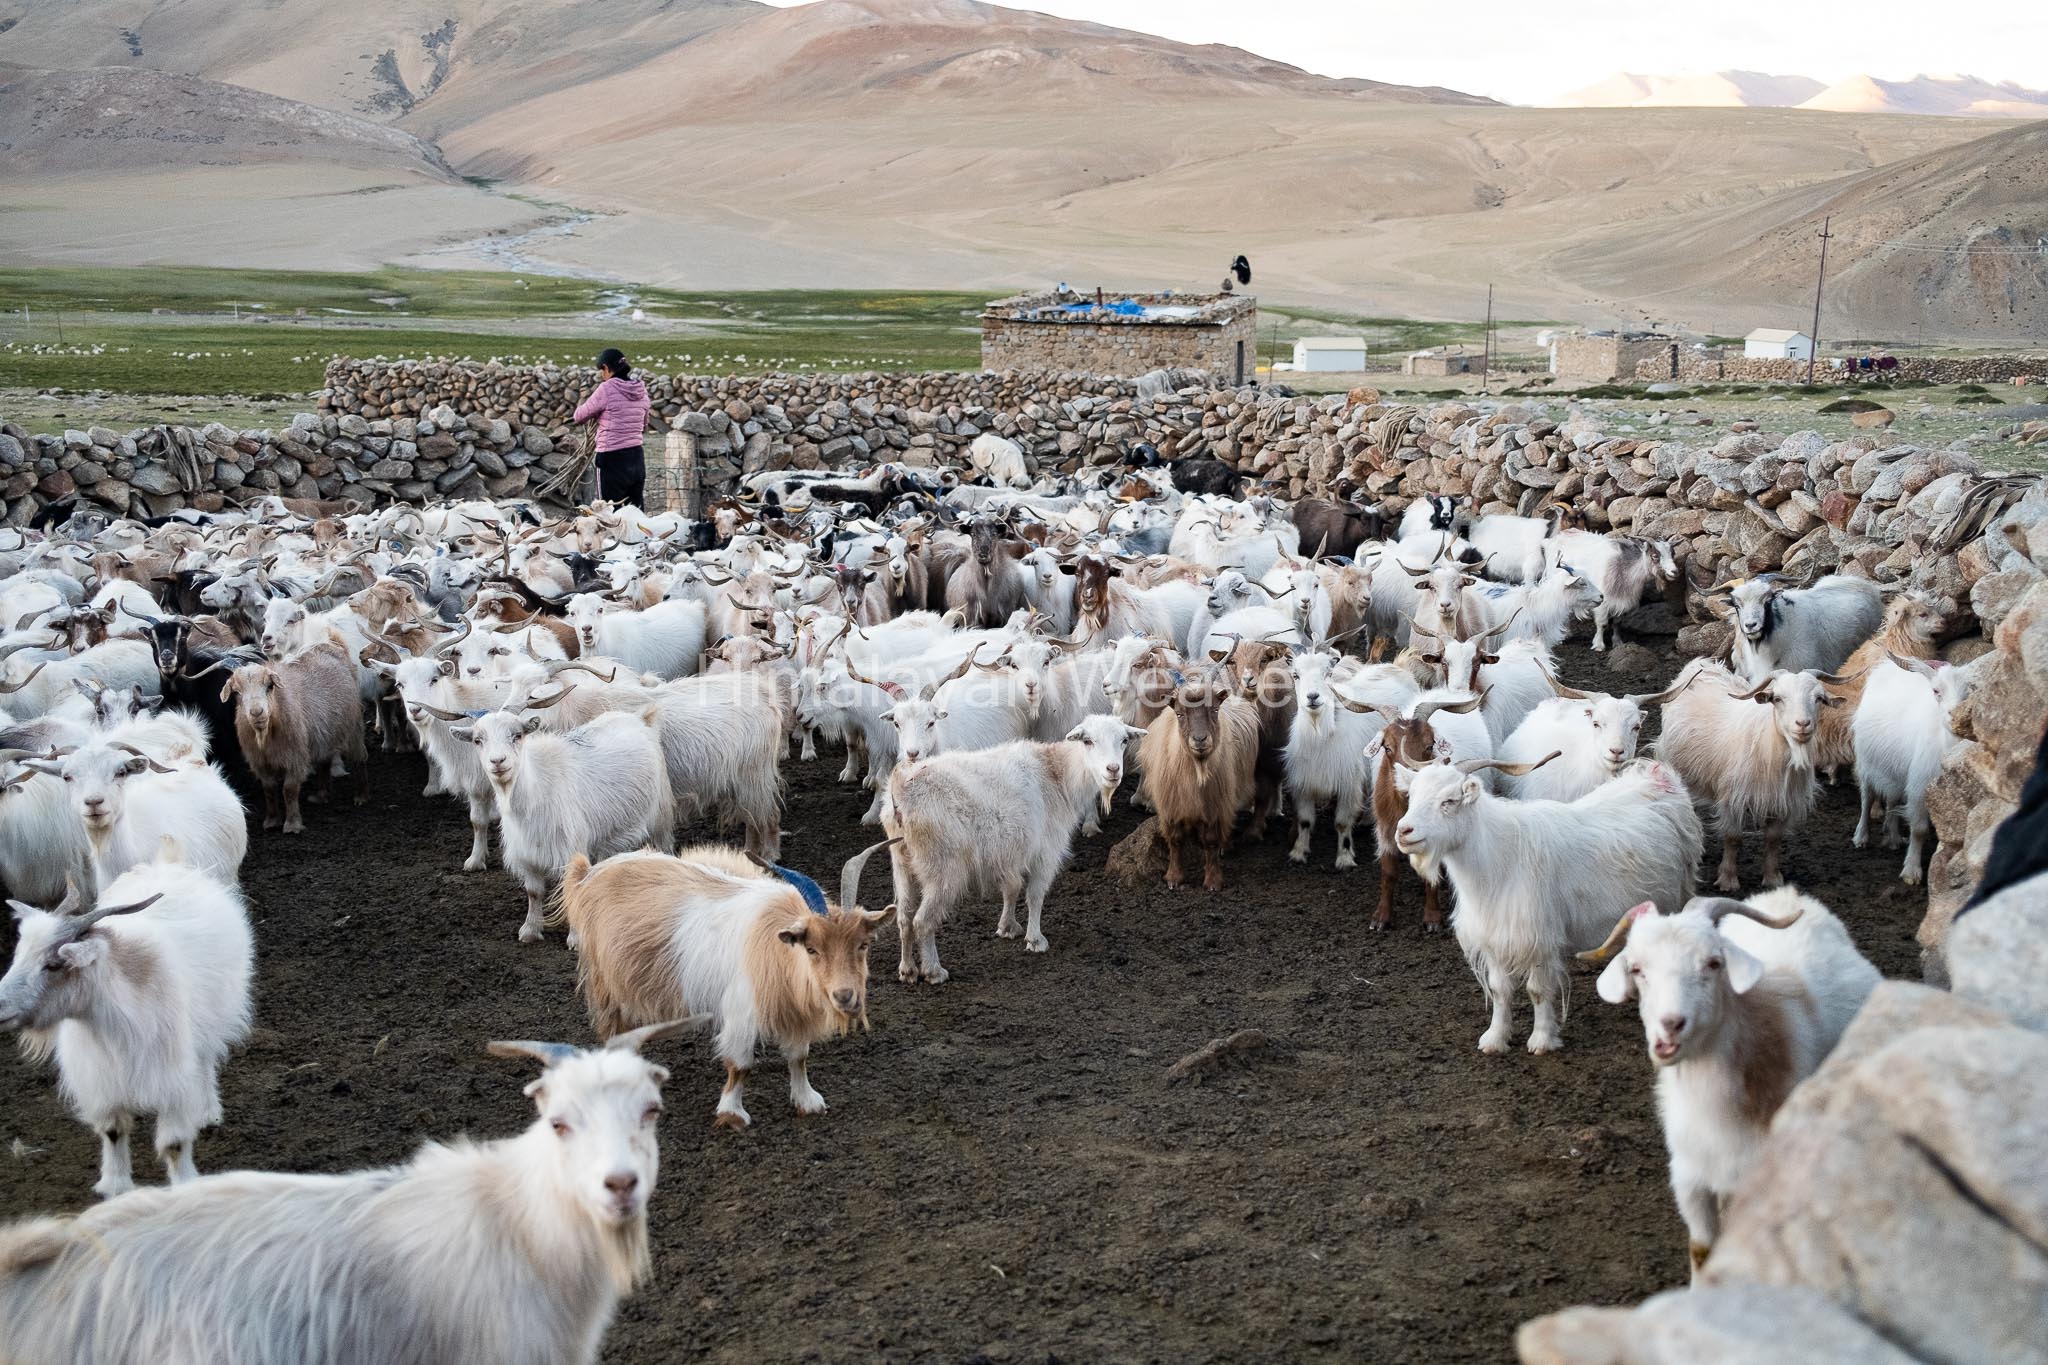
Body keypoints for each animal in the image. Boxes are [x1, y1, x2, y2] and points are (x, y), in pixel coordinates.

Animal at [1138, 667, 1261, 892]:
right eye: (1179, 713)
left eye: (1214, 710)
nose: (1200, 740)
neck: (1196, 770)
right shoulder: (1170, 804)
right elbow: (1175, 840)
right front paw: (1173, 878)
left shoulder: (1215, 804)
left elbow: (1211, 841)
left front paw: (1213, 881)